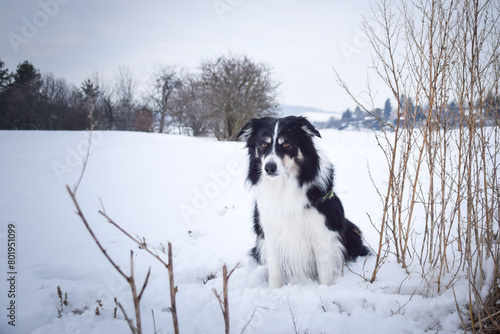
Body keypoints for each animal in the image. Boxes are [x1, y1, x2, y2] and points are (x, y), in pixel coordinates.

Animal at [238, 115, 368, 288]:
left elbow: (324, 271)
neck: (284, 185)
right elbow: (275, 270)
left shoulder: (321, 231)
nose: (269, 168)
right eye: (263, 144)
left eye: (286, 144)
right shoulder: (270, 231)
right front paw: (274, 290)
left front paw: (326, 289)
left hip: (351, 229)